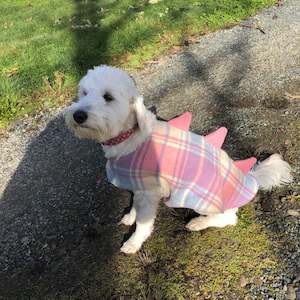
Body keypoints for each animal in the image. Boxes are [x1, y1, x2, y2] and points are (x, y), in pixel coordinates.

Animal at [64, 65, 292, 253]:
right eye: (84, 93)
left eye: (108, 97)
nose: (78, 115)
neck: (127, 137)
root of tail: (249, 179)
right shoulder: (138, 185)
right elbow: (135, 205)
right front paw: (130, 216)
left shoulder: (149, 192)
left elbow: (144, 224)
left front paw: (134, 242)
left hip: (200, 199)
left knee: (228, 218)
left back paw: (199, 223)